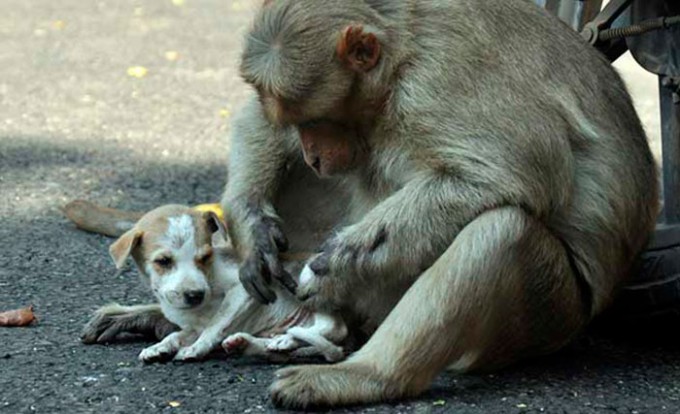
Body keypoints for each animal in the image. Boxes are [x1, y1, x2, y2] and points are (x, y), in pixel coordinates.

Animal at [110, 205, 350, 364]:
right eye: (163, 261)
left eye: (205, 257)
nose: (196, 295)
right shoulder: (193, 326)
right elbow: (176, 335)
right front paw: (159, 347)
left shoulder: (242, 289)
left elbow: (216, 323)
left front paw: (196, 348)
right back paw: (256, 342)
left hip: (308, 281)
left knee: (334, 328)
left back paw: (286, 339)